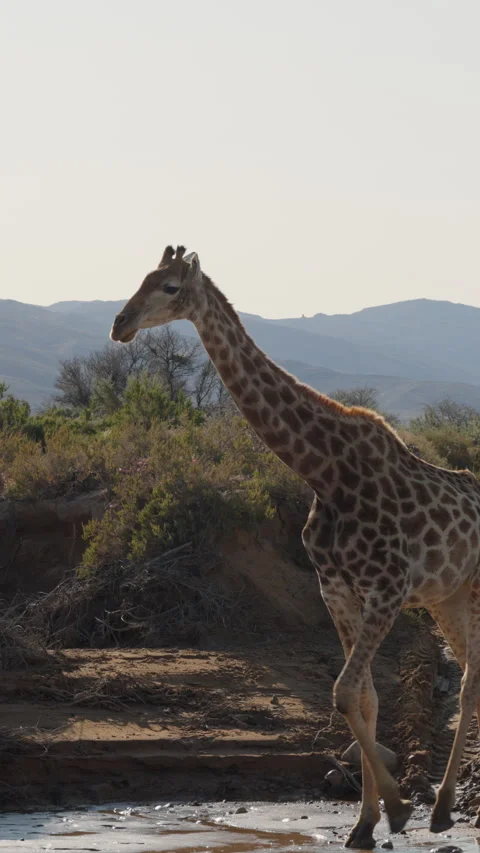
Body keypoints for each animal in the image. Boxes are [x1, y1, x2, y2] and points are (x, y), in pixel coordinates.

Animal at [111, 245, 480, 849]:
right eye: (140, 278)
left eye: (168, 286)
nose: (120, 325)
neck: (324, 472)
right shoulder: (338, 590)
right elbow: (363, 697)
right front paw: (366, 822)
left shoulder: (387, 589)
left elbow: (343, 691)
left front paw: (399, 807)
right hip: (445, 598)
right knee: (471, 672)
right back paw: (444, 808)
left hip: (469, 590)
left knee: (471, 680)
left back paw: (443, 805)